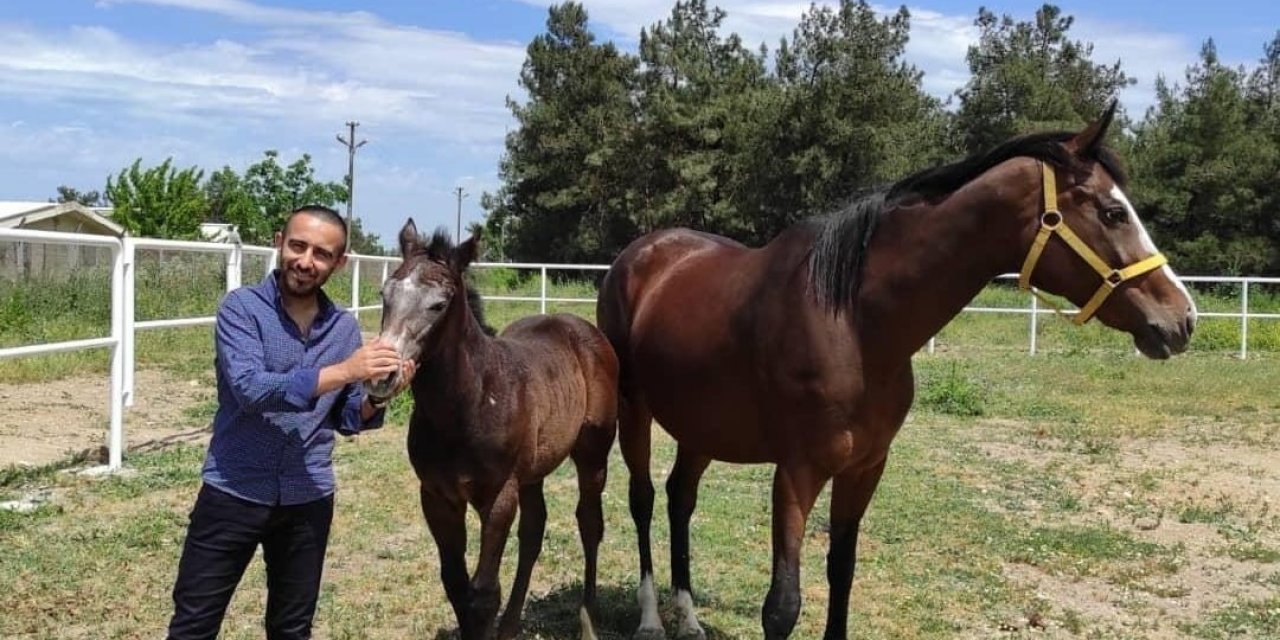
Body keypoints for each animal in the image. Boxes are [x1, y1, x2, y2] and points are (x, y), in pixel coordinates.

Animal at [366, 221, 619, 640]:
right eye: (385, 295)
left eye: (438, 304)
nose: (380, 376)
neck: (468, 404)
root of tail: (579, 326)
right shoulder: (437, 496)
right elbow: (456, 584)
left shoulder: (498, 496)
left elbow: (484, 593)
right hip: (532, 473)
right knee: (533, 532)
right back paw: (512, 625)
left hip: (593, 454)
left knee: (589, 523)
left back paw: (588, 621)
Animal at [593, 102, 1192, 637]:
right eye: (1113, 213)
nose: (1181, 318)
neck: (853, 322)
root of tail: (644, 252)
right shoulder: (796, 473)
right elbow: (782, 606)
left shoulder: (865, 468)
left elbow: (842, 574)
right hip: (636, 412)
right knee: (644, 499)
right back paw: (650, 621)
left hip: (702, 427)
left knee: (680, 499)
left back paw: (689, 619)